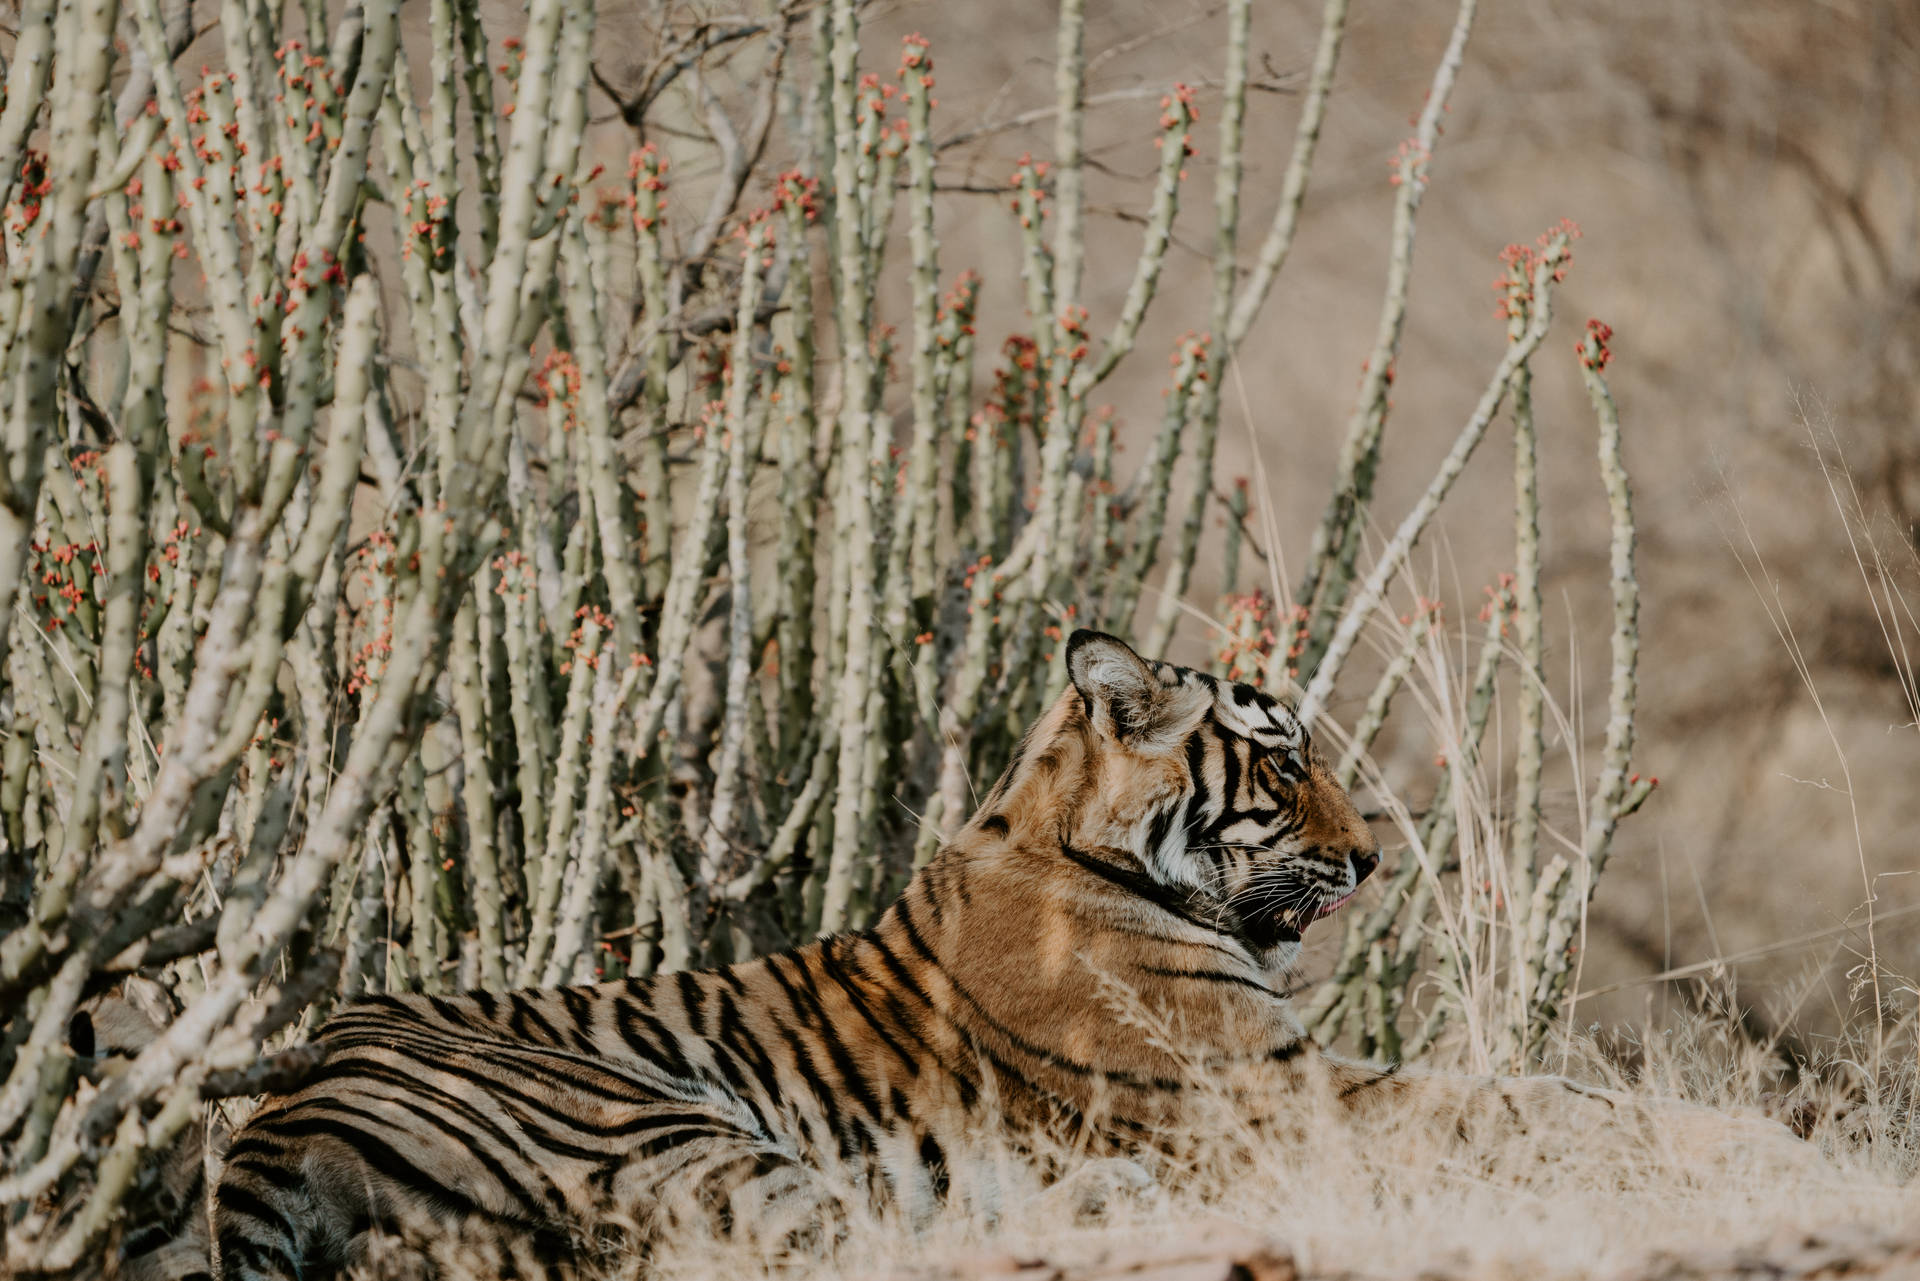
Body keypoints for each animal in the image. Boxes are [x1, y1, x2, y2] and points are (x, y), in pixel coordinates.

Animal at [207, 629, 1800, 1279]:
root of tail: (279, 1110)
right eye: (1285, 764)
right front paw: (1755, 1145)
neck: (1073, 841)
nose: (1372, 859)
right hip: (665, 1129)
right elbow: (1532, 1102)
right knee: (859, 1243)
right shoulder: (1285, 1094)